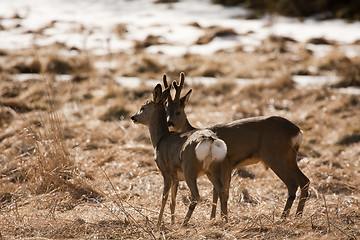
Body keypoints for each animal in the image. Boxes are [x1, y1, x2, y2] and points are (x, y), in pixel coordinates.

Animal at [131, 80, 232, 225]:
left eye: (143, 107)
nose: (133, 117)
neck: (161, 139)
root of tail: (210, 140)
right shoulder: (176, 177)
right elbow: (173, 201)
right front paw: (172, 222)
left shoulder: (166, 171)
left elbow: (164, 198)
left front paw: (159, 223)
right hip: (214, 168)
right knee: (222, 191)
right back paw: (224, 221)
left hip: (189, 169)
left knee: (196, 195)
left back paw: (185, 222)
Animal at [163, 71, 310, 219]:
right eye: (166, 110)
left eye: (178, 111)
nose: (169, 124)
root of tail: (297, 131)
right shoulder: (228, 167)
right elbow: (219, 192)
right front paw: (215, 217)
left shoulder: (224, 165)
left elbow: (220, 192)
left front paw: (217, 217)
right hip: (290, 157)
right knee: (305, 181)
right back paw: (298, 215)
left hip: (274, 156)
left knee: (292, 184)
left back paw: (284, 217)